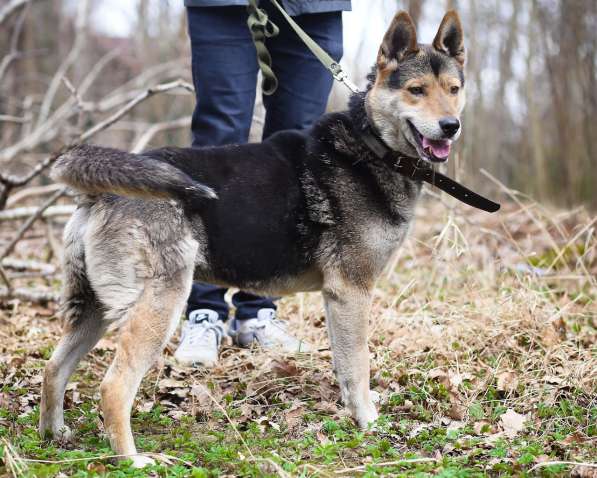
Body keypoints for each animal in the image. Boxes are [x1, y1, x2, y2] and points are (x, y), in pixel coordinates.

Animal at [40, 10, 466, 466]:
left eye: (454, 90)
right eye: (416, 91)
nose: (450, 127)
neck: (371, 144)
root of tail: (100, 192)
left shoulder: (338, 299)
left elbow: (344, 365)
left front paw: (354, 413)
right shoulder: (353, 291)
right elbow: (359, 364)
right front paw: (369, 420)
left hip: (94, 307)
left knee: (54, 368)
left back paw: (53, 434)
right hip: (159, 304)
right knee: (114, 385)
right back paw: (132, 460)